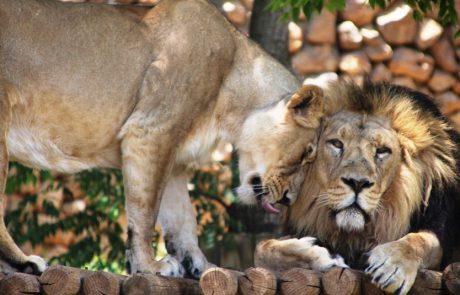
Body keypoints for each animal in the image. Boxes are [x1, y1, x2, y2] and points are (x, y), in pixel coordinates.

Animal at [0, 0, 324, 278]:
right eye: (306, 153)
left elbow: (182, 219)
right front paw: (148, 267)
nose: (288, 199)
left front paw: (203, 268)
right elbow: (145, 213)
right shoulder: (150, 132)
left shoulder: (175, 157)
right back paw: (24, 262)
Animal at [253, 80, 460, 294]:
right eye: (336, 144)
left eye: (382, 151)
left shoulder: (441, 231)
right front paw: (318, 255)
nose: (357, 183)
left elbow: (419, 240)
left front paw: (391, 265)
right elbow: (261, 248)